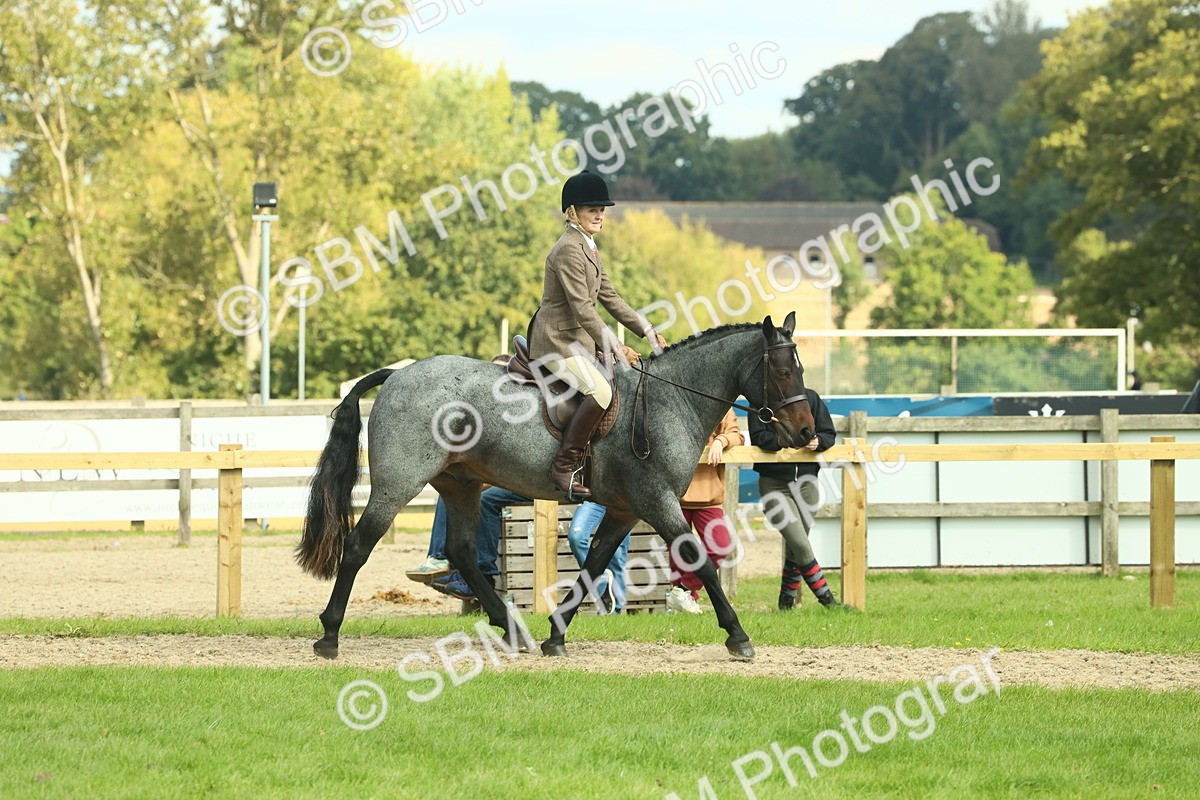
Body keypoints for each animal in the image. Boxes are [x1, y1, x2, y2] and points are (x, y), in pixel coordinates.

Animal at [297, 312, 816, 660]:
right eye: (782, 371)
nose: (807, 432)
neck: (672, 398)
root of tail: (399, 373)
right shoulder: (658, 501)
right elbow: (700, 562)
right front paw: (738, 636)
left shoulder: (625, 510)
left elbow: (593, 567)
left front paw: (555, 636)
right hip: (399, 483)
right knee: (358, 545)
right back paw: (329, 636)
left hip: (461, 484)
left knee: (462, 550)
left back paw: (512, 630)